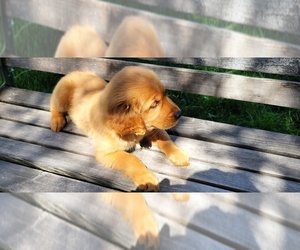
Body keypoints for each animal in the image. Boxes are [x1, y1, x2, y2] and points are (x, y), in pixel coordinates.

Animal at [50, 65, 189, 190]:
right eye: (154, 104)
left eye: (165, 94)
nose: (180, 113)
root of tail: (74, 72)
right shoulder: (106, 152)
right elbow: (130, 159)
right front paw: (147, 178)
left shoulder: (154, 128)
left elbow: (165, 139)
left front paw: (180, 155)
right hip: (61, 96)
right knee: (53, 105)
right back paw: (57, 121)